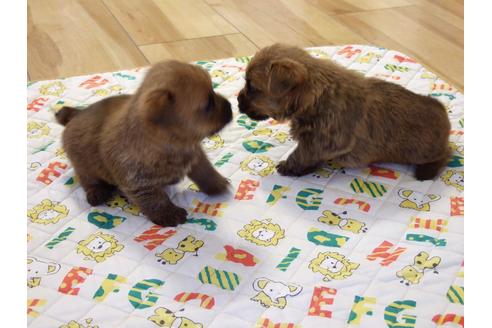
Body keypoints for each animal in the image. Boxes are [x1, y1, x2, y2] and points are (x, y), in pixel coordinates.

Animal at [55, 60, 233, 227]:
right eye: (209, 104)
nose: (231, 107)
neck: (169, 144)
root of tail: (76, 115)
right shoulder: (139, 182)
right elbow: (156, 200)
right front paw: (169, 214)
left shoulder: (195, 155)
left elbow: (206, 171)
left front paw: (217, 184)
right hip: (83, 164)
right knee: (86, 179)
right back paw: (97, 192)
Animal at [237, 43, 450, 179]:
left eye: (252, 87)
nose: (237, 102)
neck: (313, 96)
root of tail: (444, 114)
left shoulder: (322, 141)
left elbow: (301, 154)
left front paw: (290, 167)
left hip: (423, 151)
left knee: (445, 154)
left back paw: (426, 172)